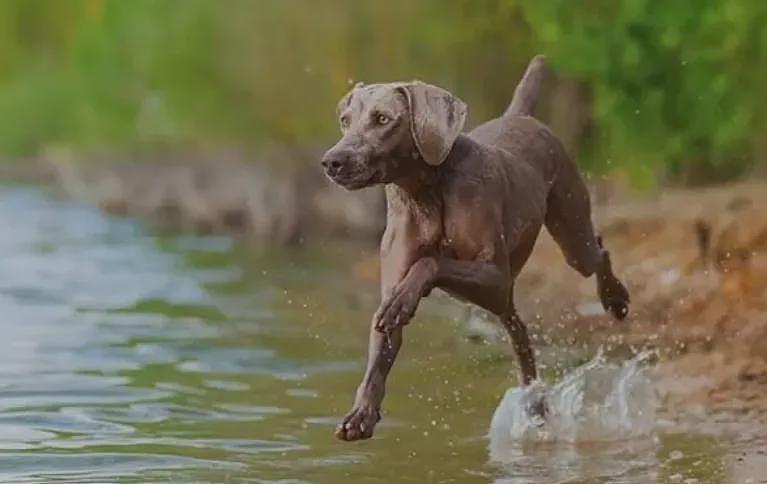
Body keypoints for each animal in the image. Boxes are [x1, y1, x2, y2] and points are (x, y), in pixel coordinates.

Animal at [320, 54, 628, 440]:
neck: (426, 192)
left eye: (382, 119)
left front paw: (405, 299)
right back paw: (535, 403)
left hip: (569, 238)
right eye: (345, 121)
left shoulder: (494, 273)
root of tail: (521, 116)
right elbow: (381, 343)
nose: (331, 162)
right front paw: (361, 414)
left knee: (598, 251)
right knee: (518, 332)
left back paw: (615, 298)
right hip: (501, 299)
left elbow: (431, 263)